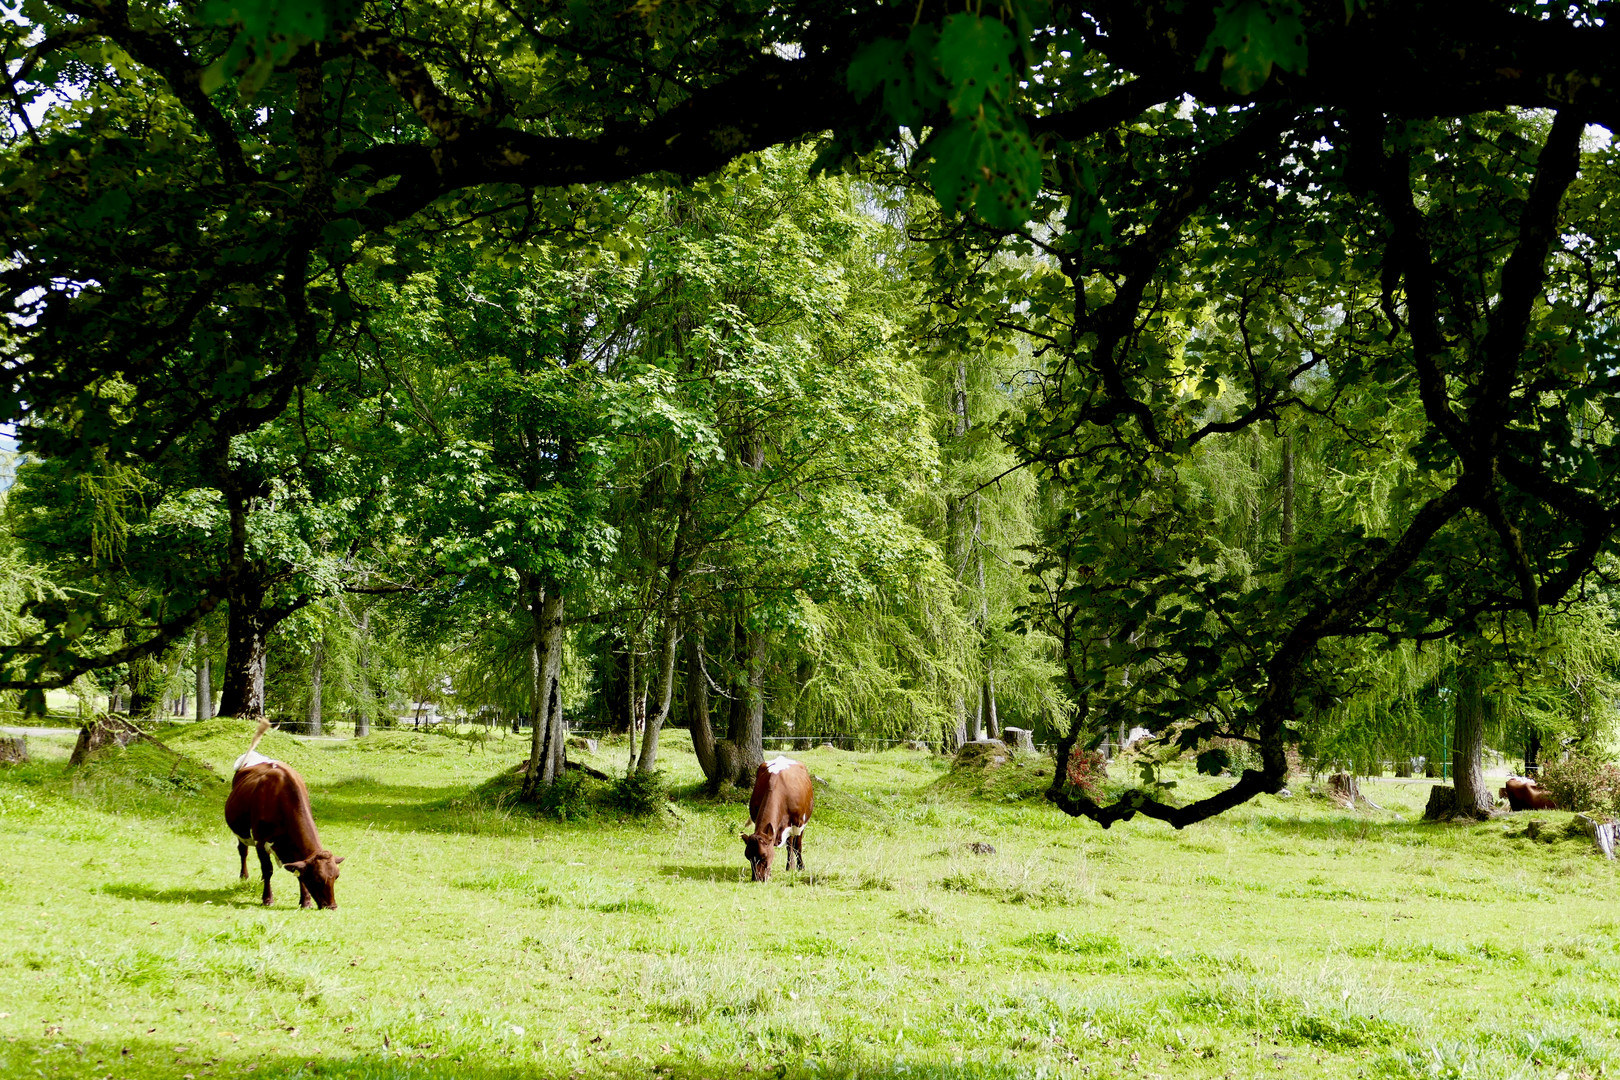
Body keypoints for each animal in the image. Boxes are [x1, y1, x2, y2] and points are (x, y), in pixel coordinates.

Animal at [225, 722, 345, 906]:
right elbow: (267, 869)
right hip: (242, 832)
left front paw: (305, 901)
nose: (332, 906)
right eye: (317, 879)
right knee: (243, 851)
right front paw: (267, 899)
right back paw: (244, 877)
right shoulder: (261, 841)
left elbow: (298, 872)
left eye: (336, 876)